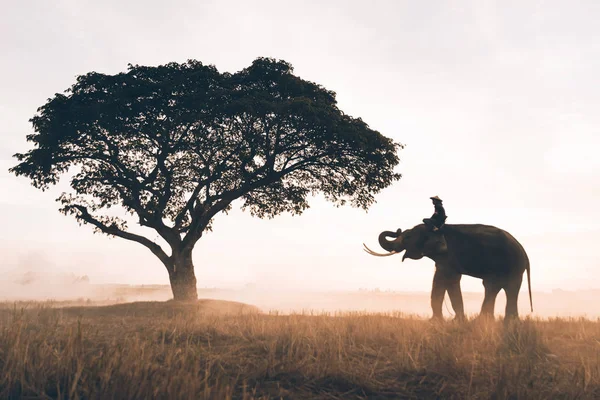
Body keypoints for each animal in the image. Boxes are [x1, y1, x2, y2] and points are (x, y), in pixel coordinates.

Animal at [364, 223, 532, 320]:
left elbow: (444, 280)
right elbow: (446, 281)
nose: (396, 230)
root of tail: (524, 252)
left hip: (513, 265)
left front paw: (440, 322)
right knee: (494, 287)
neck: (434, 229)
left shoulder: (448, 256)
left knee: (505, 287)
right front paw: (450, 321)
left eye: (407, 237)